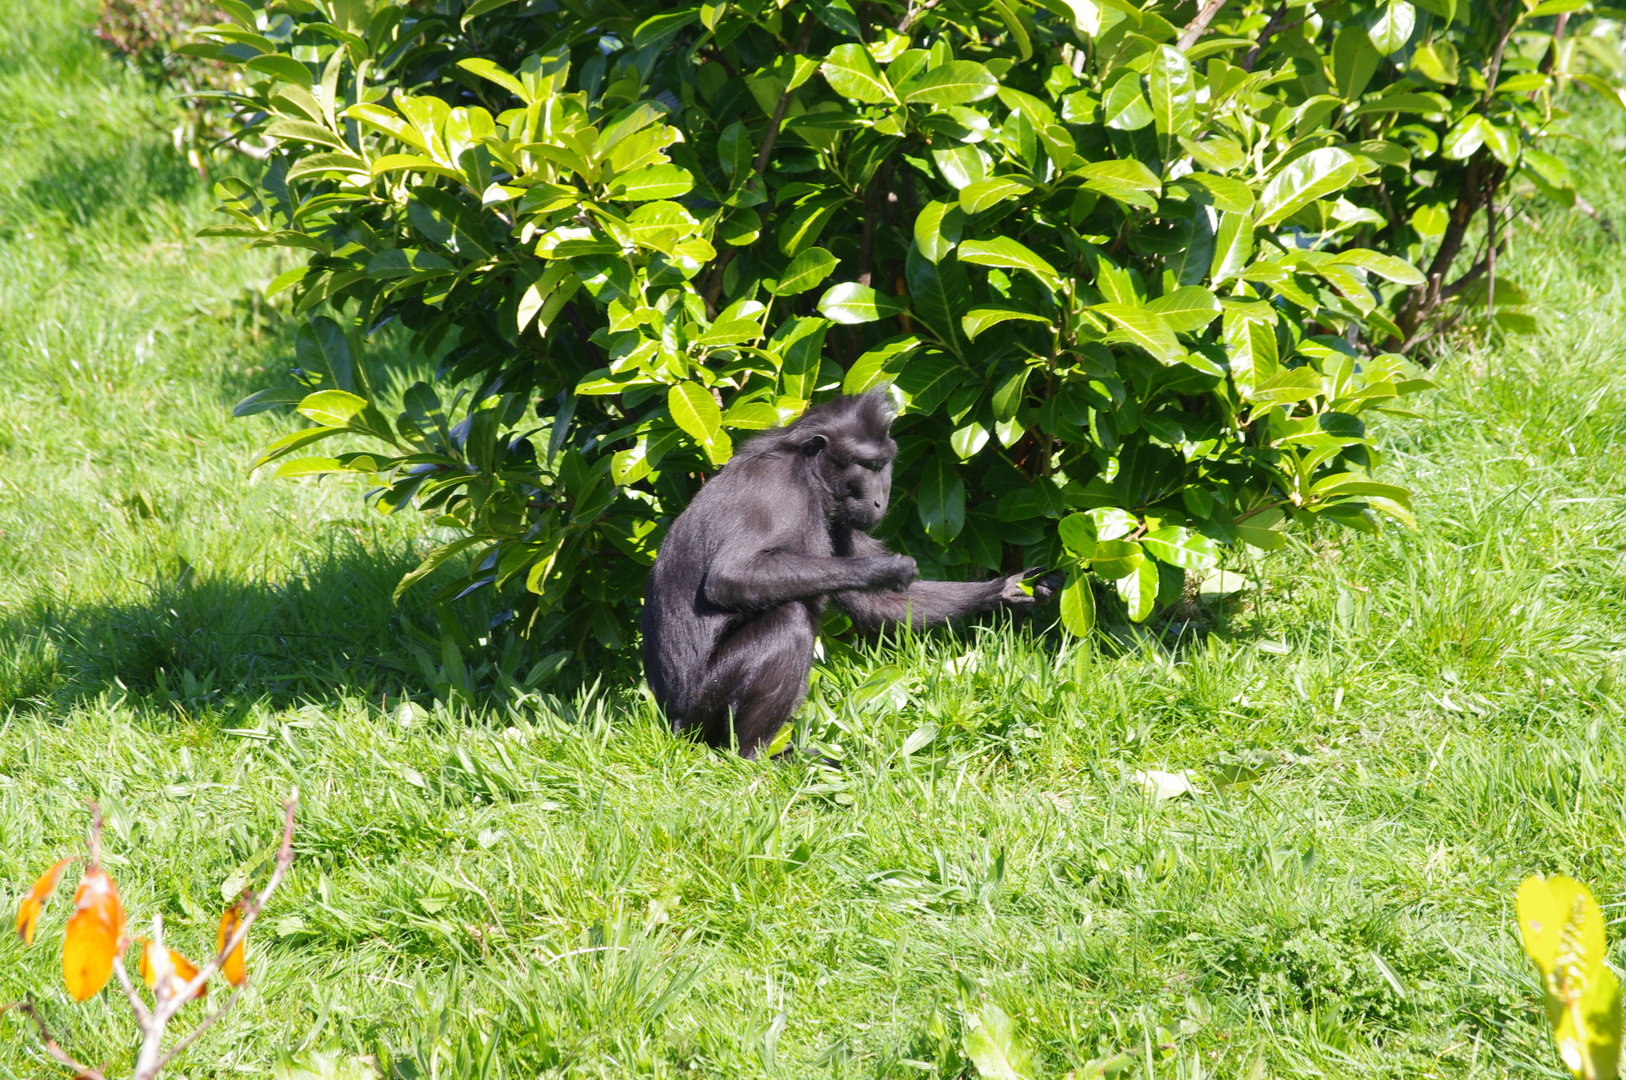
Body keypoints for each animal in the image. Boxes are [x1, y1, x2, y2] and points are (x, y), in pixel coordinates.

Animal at [641, 390, 1061, 757]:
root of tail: (670, 718)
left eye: (883, 464)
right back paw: (753, 757)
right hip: (702, 708)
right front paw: (887, 568)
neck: (809, 474)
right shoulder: (778, 484)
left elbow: (877, 603)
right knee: (787, 619)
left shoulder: (840, 517)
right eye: (867, 466)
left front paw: (1010, 590)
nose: (881, 499)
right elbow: (731, 576)